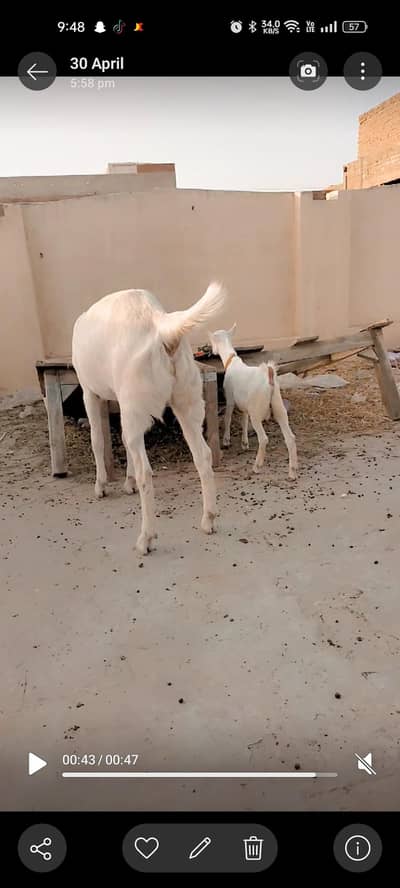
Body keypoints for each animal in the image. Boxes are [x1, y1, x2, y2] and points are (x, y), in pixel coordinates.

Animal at [72, 282, 226, 555]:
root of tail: (160, 324)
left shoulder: (90, 392)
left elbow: (97, 441)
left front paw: (101, 485)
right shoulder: (122, 401)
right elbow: (123, 439)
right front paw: (128, 481)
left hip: (136, 402)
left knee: (147, 471)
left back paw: (146, 538)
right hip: (185, 401)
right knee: (203, 455)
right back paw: (208, 519)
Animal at [208, 324, 298, 479]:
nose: (212, 351)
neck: (231, 362)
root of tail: (269, 376)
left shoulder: (230, 398)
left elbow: (227, 418)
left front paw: (226, 441)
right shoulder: (245, 405)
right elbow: (243, 421)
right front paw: (244, 443)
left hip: (256, 411)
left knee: (264, 439)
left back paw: (257, 466)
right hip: (278, 406)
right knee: (290, 437)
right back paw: (292, 472)